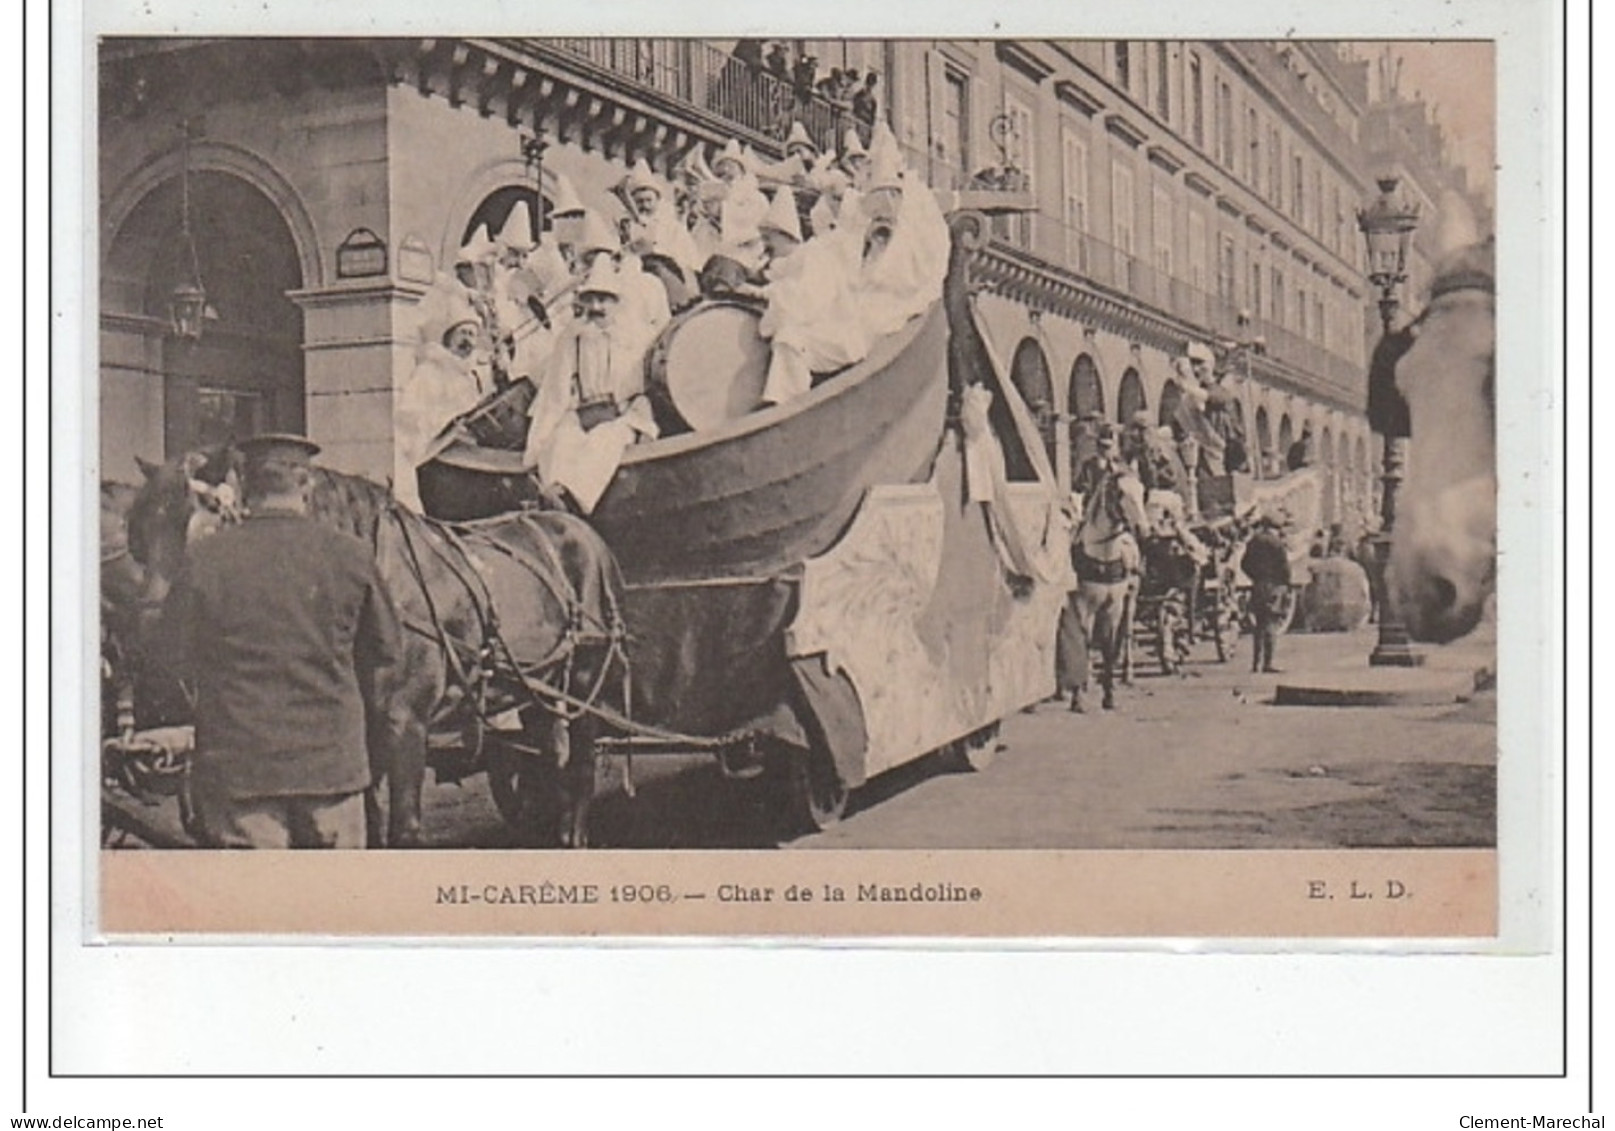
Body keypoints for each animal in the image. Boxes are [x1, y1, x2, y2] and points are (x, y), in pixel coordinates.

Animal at [124, 449, 629, 846]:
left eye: (203, 527)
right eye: (138, 539)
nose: (146, 638)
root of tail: (582, 531)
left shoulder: (406, 723)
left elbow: (403, 829)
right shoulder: (360, 728)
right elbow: (367, 821)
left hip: (586, 679)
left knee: (581, 763)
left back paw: (575, 835)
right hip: (540, 688)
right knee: (548, 754)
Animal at [1072, 465, 1149, 710]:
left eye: (1142, 490)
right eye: (1120, 492)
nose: (1143, 529)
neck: (1103, 555)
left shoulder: (1112, 606)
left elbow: (1107, 644)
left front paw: (1109, 695)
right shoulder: (1084, 605)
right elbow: (1085, 643)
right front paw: (1079, 696)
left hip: (1131, 597)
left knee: (1127, 632)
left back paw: (1126, 673)